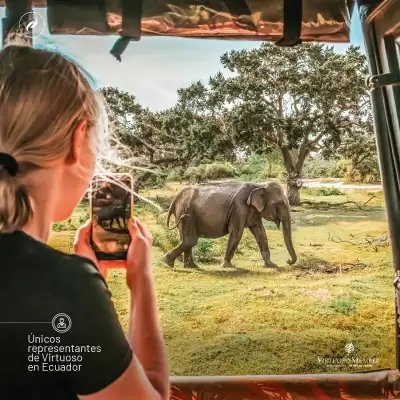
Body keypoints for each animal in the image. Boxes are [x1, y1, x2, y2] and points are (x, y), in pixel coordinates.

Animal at [162, 181, 296, 268]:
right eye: (279, 204)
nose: (288, 261)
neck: (259, 185)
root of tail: (175, 198)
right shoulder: (239, 207)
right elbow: (237, 233)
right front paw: (227, 266)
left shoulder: (253, 211)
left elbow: (260, 233)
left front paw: (271, 265)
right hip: (186, 213)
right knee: (190, 239)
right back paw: (168, 262)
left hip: (183, 213)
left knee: (185, 239)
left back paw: (191, 267)